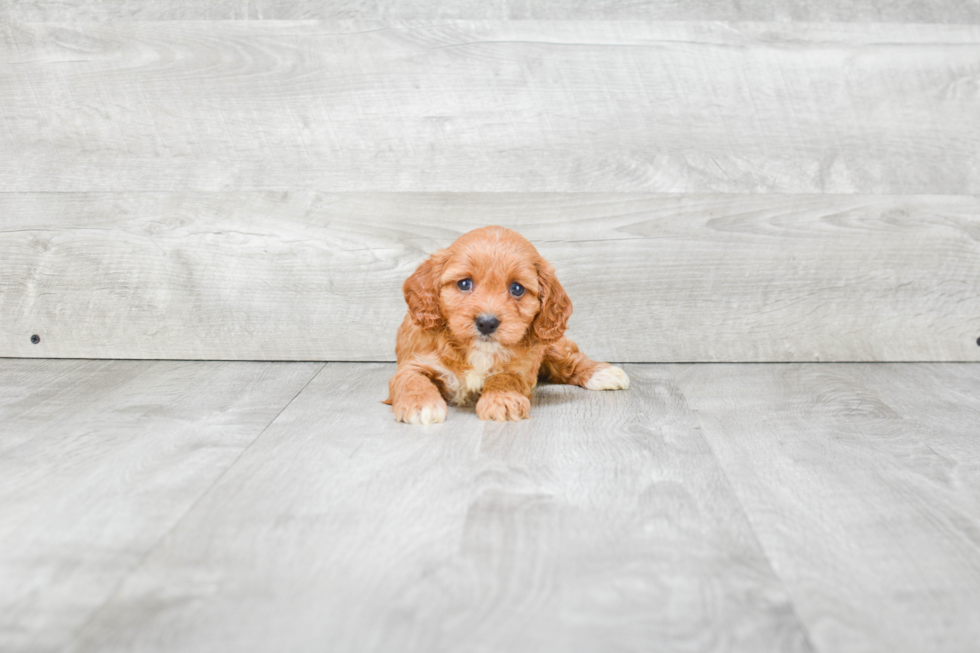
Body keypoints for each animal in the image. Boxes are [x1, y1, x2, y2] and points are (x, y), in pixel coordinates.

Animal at [382, 225, 628, 422]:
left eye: (517, 288)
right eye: (464, 283)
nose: (487, 323)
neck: (478, 350)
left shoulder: (520, 369)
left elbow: (505, 378)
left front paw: (502, 400)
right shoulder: (414, 362)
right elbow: (411, 380)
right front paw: (421, 405)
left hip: (551, 344)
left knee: (570, 360)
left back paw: (603, 373)